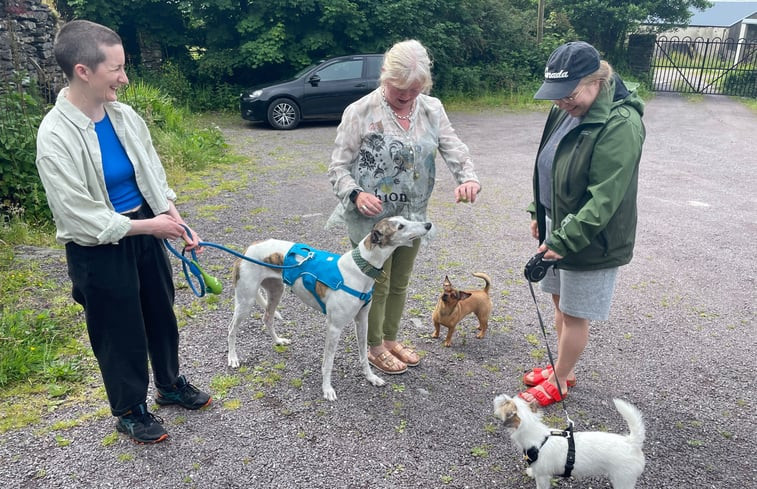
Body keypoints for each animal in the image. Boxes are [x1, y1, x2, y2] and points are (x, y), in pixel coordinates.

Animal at [226, 217, 432, 400]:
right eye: (400, 226)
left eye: (405, 218)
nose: (428, 225)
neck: (360, 269)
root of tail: (250, 246)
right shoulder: (334, 327)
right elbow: (328, 362)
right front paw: (327, 389)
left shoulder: (362, 321)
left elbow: (364, 356)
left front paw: (371, 377)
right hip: (245, 301)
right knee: (231, 329)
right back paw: (233, 358)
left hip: (276, 291)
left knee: (267, 318)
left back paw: (278, 341)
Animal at [494, 392, 648, 488]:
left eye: (506, 403)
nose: (499, 396)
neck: (536, 435)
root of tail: (632, 443)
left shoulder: (543, 477)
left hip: (623, 480)